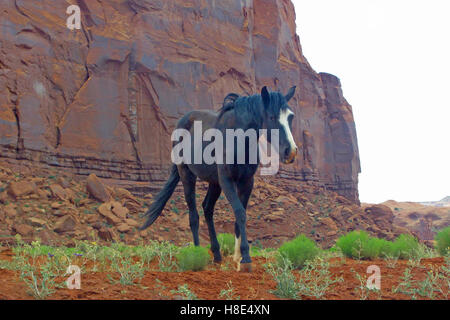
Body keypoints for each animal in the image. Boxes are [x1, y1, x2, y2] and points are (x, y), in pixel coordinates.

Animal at [139, 86, 298, 272]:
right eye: (272, 117)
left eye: (291, 116)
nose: (291, 151)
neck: (238, 138)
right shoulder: (227, 180)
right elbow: (240, 213)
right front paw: (245, 258)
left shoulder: (246, 182)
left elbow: (240, 216)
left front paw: (237, 258)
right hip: (187, 175)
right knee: (194, 216)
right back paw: (197, 253)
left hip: (214, 183)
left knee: (207, 208)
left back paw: (217, 254)